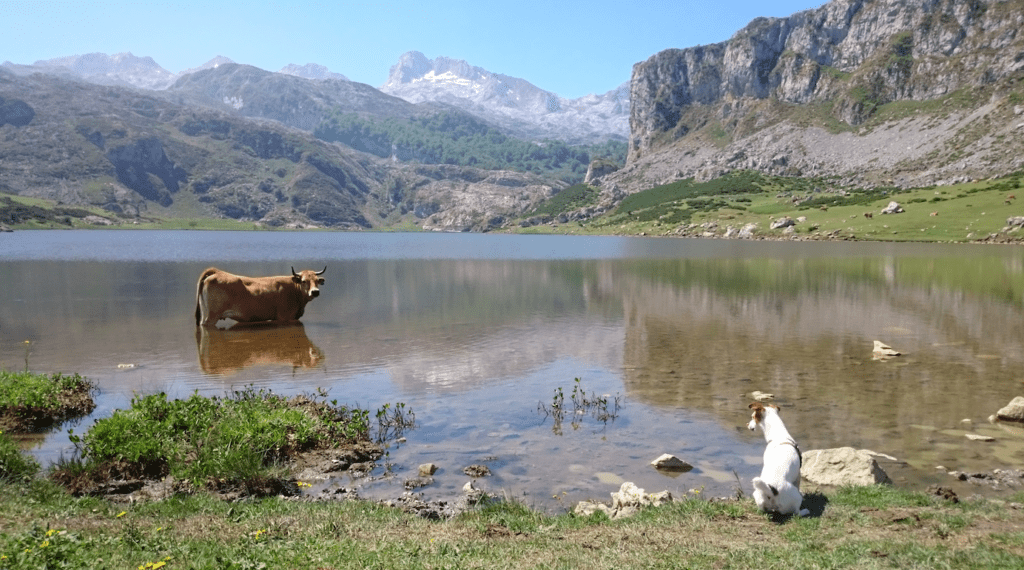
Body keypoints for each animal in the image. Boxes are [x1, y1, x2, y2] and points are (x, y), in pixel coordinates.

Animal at [193, 266, 325, 327]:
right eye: (303, 281)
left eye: (317, 281)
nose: (315, 292)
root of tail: (217, 272)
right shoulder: (285, 317)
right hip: (211, 316)